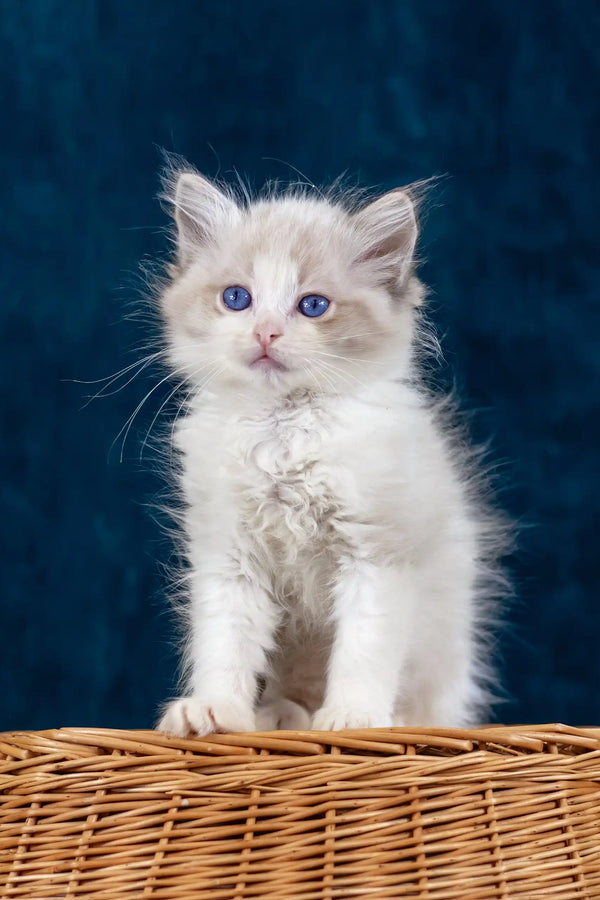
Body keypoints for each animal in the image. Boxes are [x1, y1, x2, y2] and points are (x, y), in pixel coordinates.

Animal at [156, 163, 506, 740]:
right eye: (237, 298)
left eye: (313, 306)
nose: (266, 332)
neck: (283, 433)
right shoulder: (228, 556)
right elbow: (225, 641)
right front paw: (217, 710)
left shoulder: (377, 553)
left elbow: (365, 647)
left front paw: (354, 717)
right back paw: (278, 715)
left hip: (445, 642)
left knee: (434, 706)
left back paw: (400, 720)